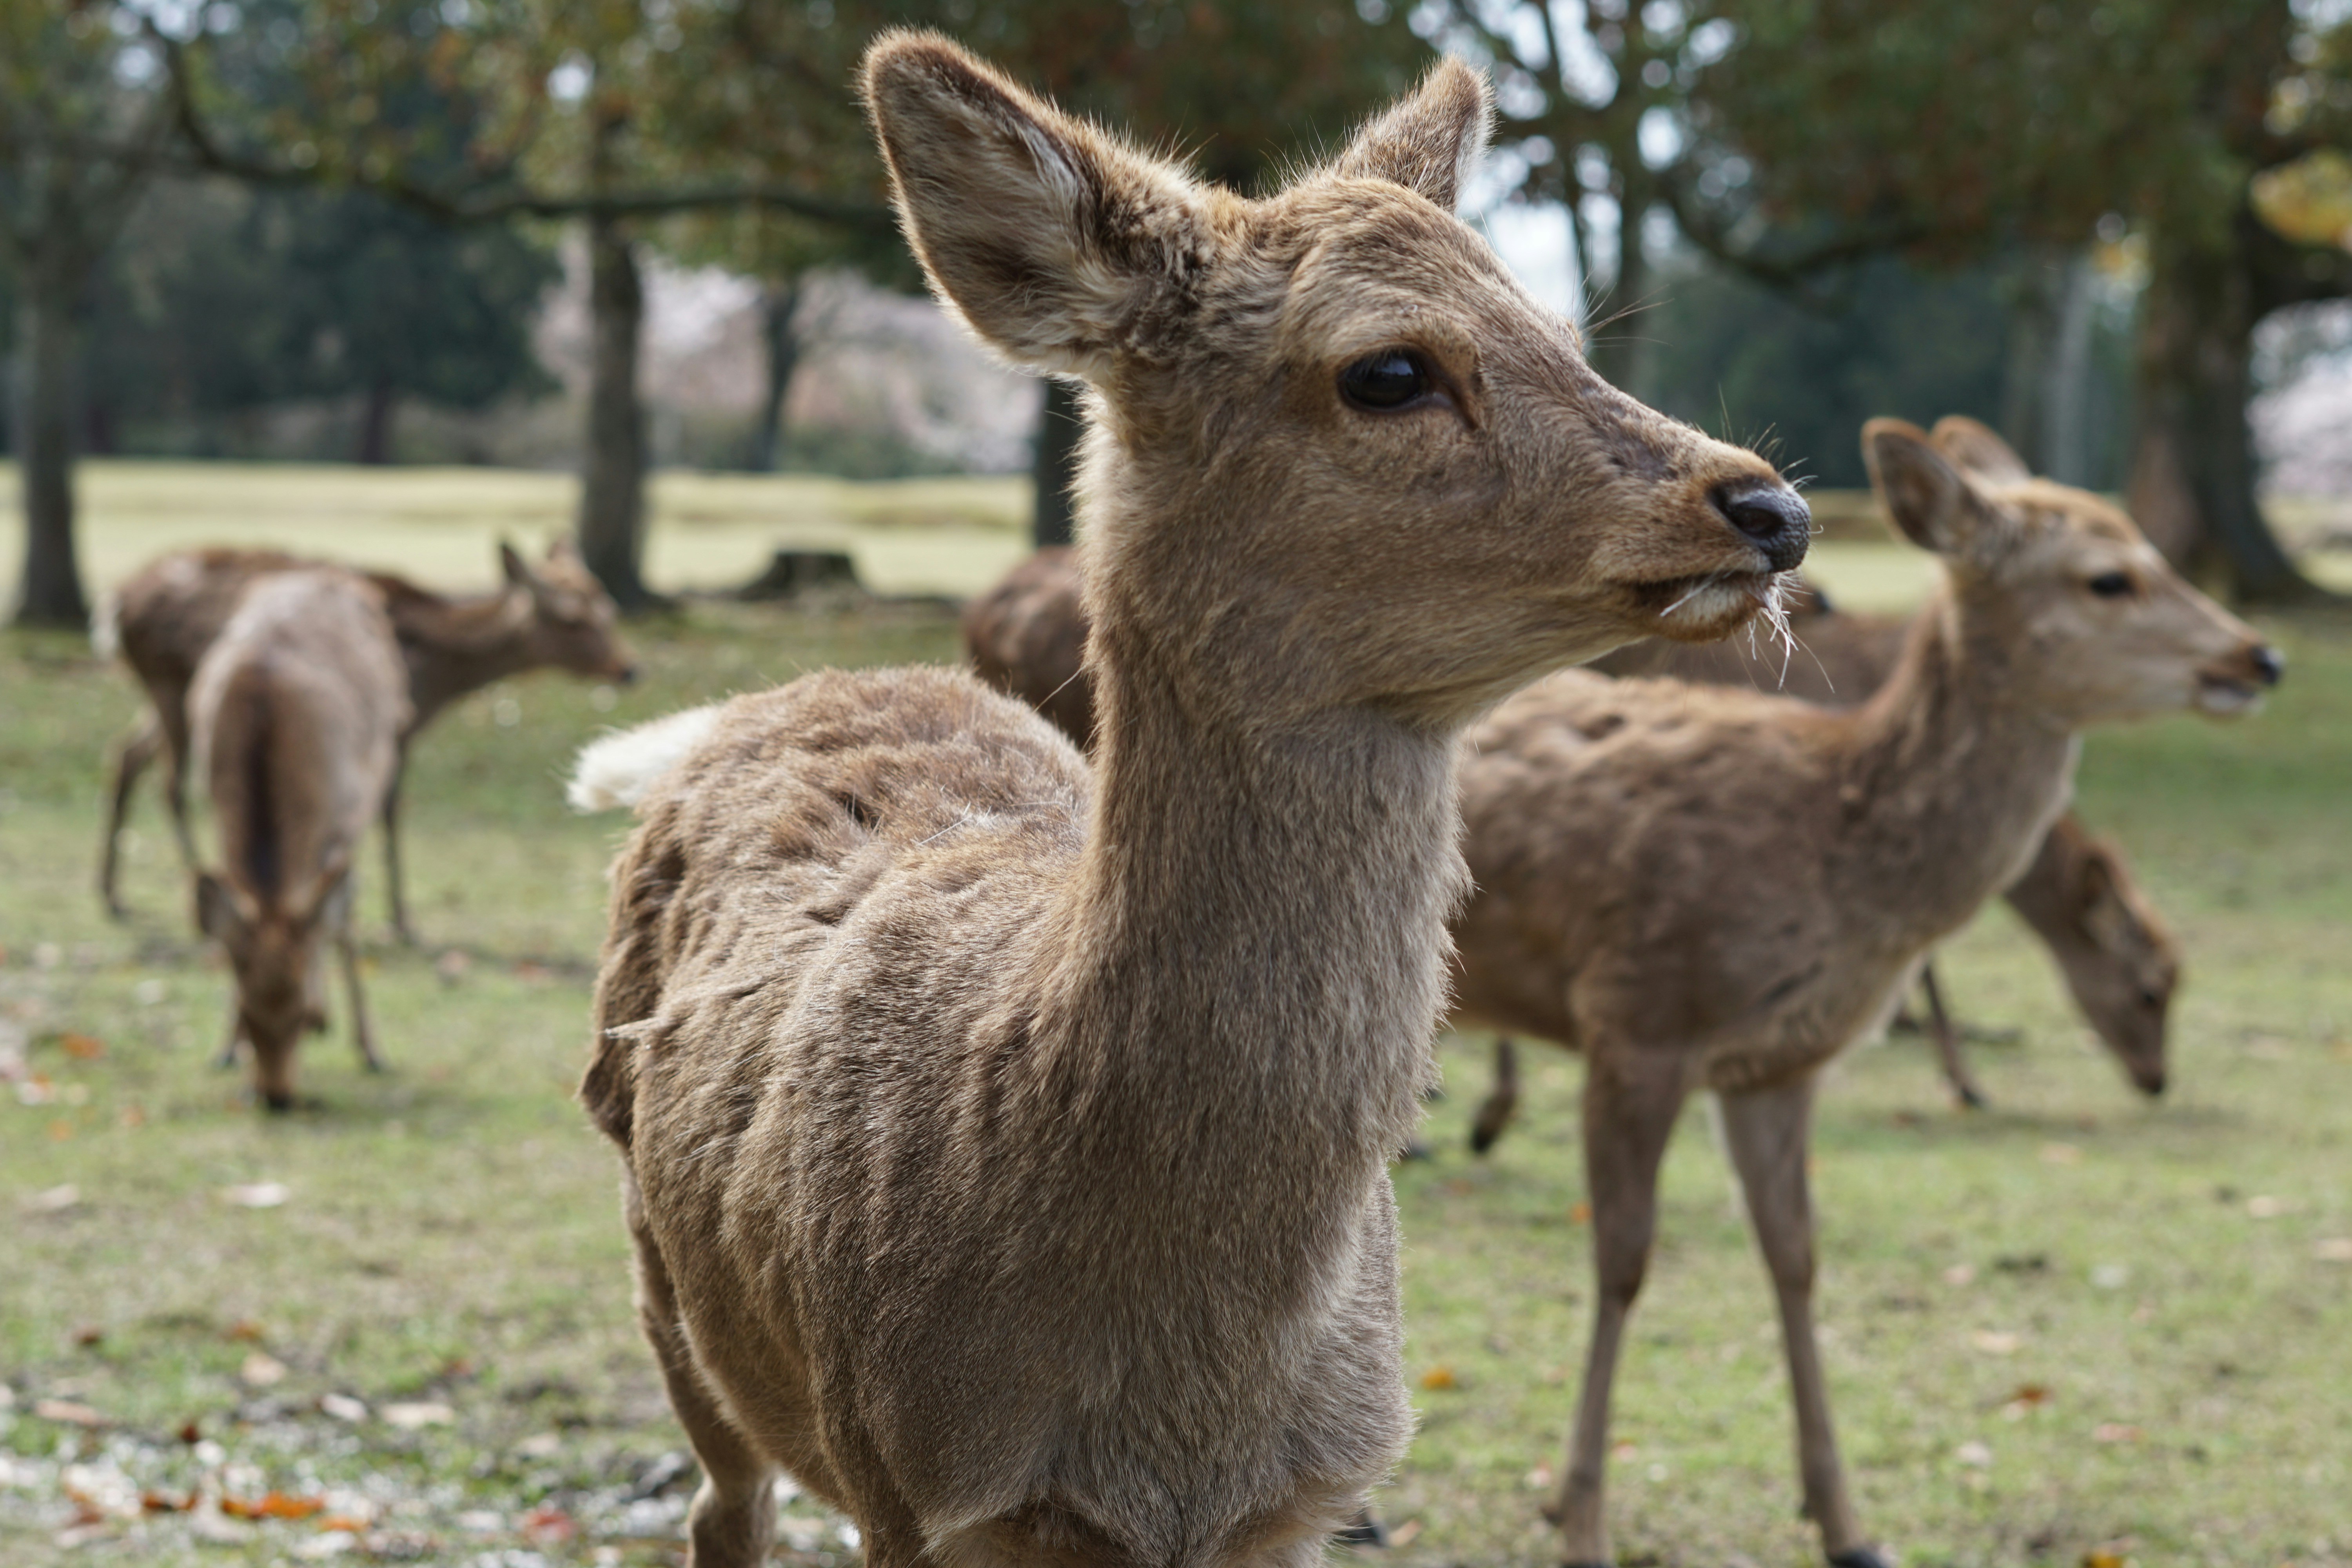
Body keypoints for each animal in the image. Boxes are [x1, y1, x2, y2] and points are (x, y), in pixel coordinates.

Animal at [96, 537, 635, 942]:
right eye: (572, 619)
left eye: (608, 607)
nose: (628, 668)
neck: (437, 679)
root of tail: (114, 607)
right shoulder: (394, 730)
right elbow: (391, 811)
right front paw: (402, 922)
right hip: (168, 685)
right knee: (169, 782)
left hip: (168, 694)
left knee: (126, 756)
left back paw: (114, 895)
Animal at [188, 570, 411, 1111]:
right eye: (246, 1014)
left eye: (301, 1016)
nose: (276, 1096)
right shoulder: (214, 807)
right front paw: (224, 1050)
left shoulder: (343, 816)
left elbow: (338, 920)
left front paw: (369, 1048)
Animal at [564, 34, 1810, 1568]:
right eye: (1388, 368)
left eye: (1570, 335)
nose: (1769, 509)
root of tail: (749, 707)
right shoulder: (910, 1475)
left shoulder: (1310, 1495)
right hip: (672, 1289)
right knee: (714, 1503)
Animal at [1446, 415, 2279, 1568]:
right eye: (2108, 577)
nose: (2259, 654)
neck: (1828, 843)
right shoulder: (1637, 1015)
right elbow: (1623, 1262)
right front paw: (1579, 1519)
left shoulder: (1776, 1064)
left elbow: (1795, 1257)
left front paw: (1845, 1523)